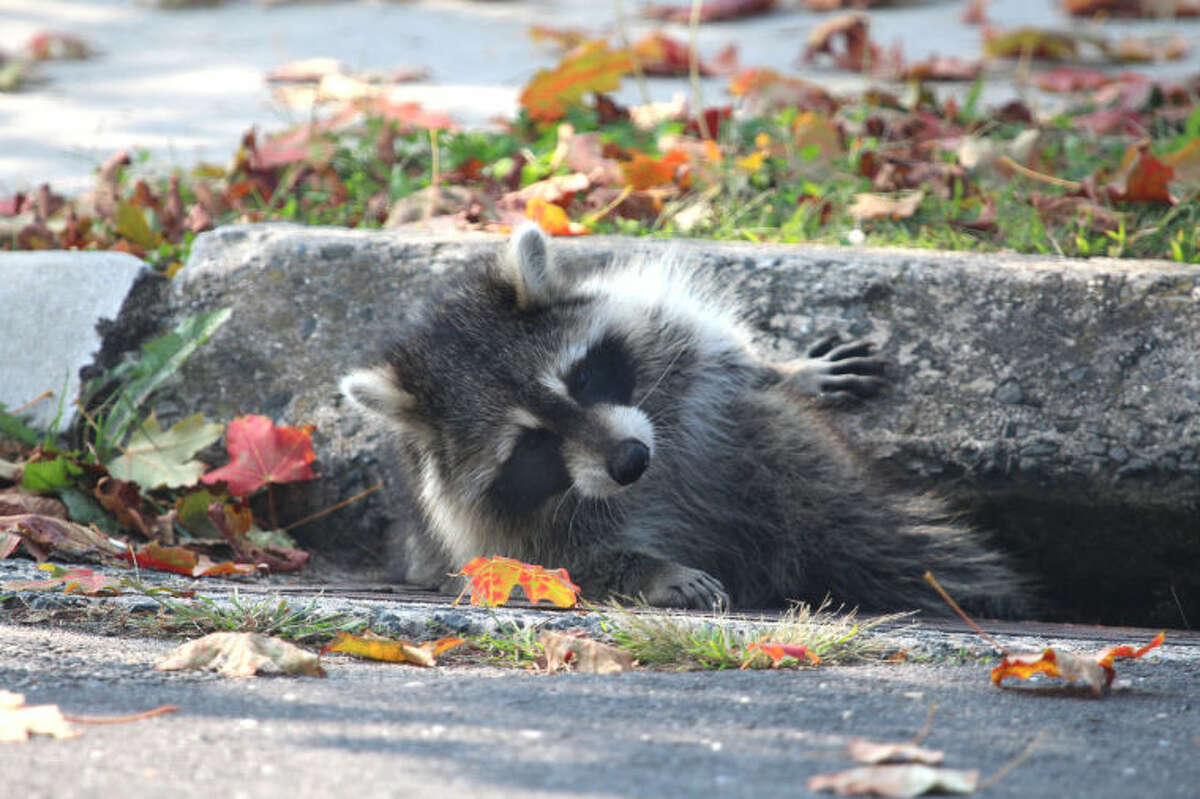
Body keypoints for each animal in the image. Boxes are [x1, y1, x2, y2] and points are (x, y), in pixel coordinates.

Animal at [341, 226, 1026, 615]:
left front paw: (787, 368)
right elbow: (547, 563)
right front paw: (652, 572)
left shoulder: (673, 342)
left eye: (581, 378)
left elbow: (728, 363)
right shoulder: (482, 531)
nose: (630, 462)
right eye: (531, 445)